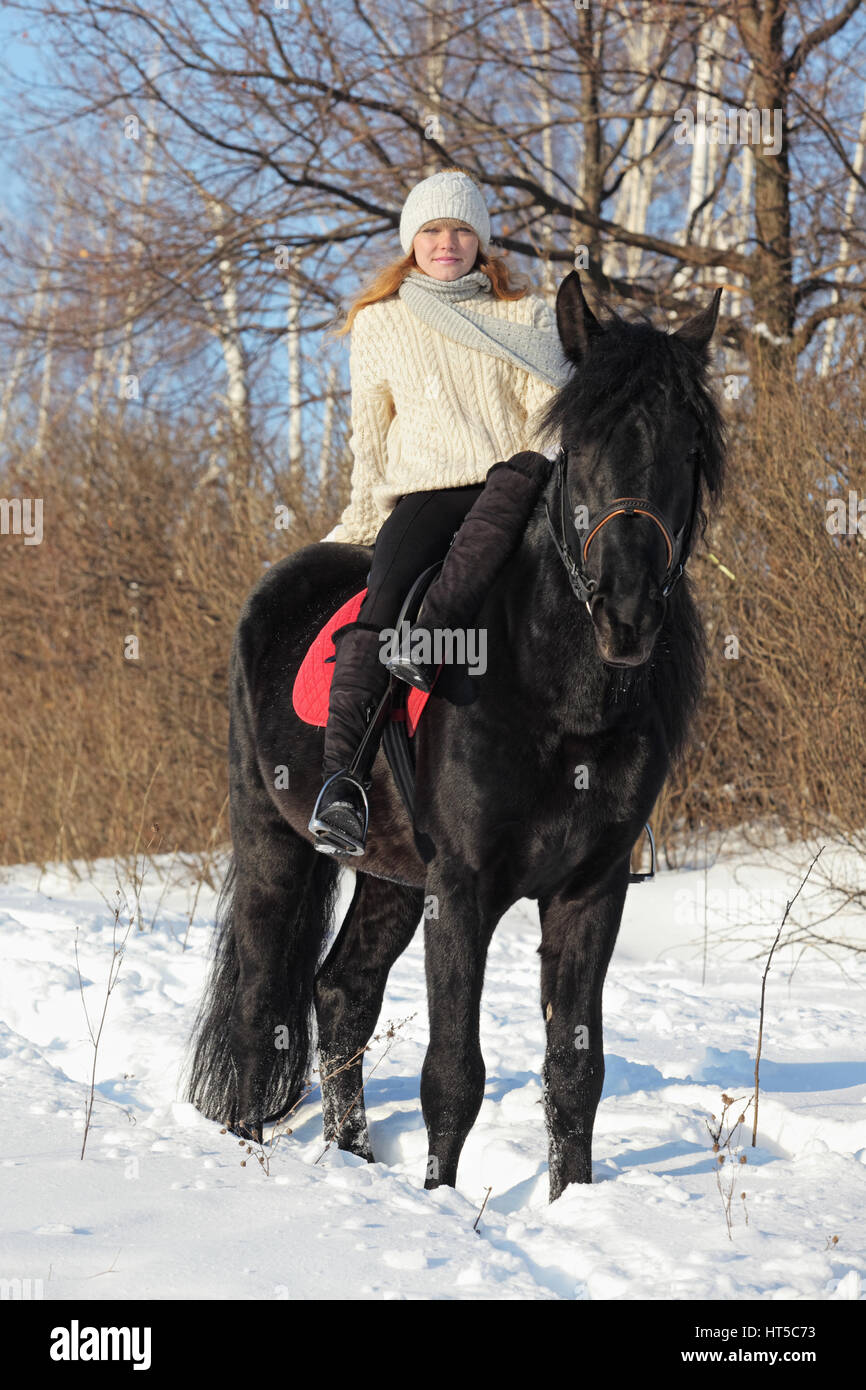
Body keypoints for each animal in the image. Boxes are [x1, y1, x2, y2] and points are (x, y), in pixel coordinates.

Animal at [186, 273, 728, 1206]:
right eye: (579, 440)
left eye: (688, 444)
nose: (627, 612)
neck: (557, 693)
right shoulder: (464, 889)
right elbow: (453, 1073)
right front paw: (442, 1208)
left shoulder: (589, 892)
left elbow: (575, 1071)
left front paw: (571, 1205)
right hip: (273, 841)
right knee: (261, 1002)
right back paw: (254, 1152)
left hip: (392, 876)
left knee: (342, 991)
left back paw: (355, 1157)